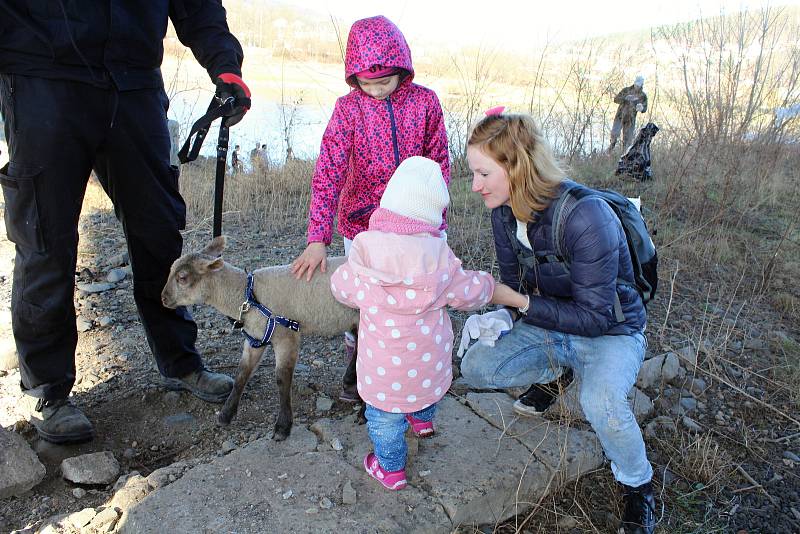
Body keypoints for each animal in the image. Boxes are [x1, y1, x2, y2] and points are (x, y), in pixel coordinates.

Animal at [161, 237, 358, 442]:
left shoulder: (286, 336)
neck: (248, 296)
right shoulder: (255, 339)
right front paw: (225, 415)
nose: (163, 299)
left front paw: (282, 426)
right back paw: (350, 379)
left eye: (182, 278)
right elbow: (242, 374)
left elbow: (282, 378)